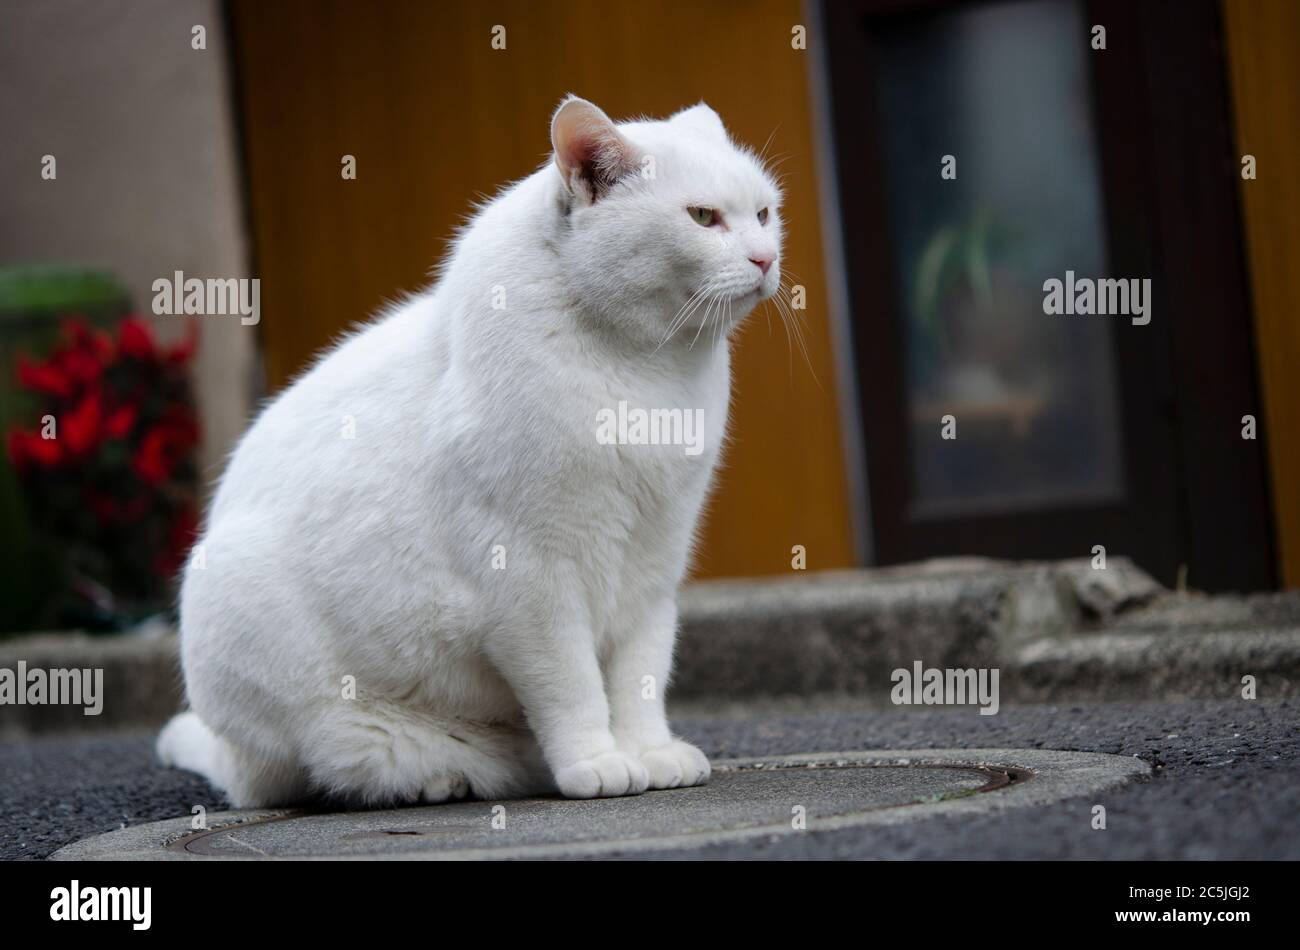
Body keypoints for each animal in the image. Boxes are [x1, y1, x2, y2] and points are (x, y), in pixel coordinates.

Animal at [152, 96, 780, 805]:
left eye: (763, 213)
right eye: (703, 217)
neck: (649, 371)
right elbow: (572, 687)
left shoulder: (651, 571)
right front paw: (596, 762)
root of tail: (236, 762)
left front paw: (648, 752)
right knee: (341, 757)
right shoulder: (533, 581)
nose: (765, 259)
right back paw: (440, 776)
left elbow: (640, 678)